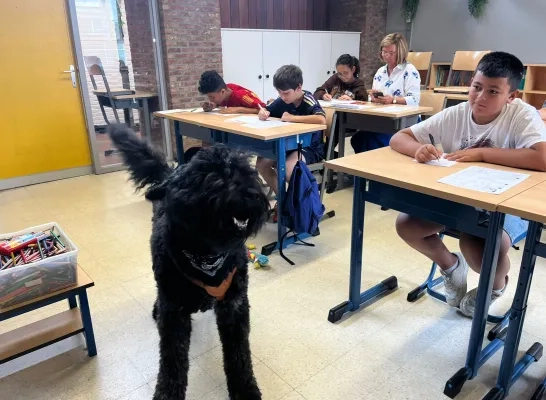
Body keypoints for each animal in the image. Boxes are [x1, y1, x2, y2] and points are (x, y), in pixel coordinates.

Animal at [107, 123, 268, 398]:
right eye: (211, 177)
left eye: (246, 171)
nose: (252, 194)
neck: (207, 254)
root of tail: (169, 175)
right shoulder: (174, 314)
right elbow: (173, 361)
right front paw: (168, 393)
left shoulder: (234, 306)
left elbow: (239, 355)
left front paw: (245, 389)